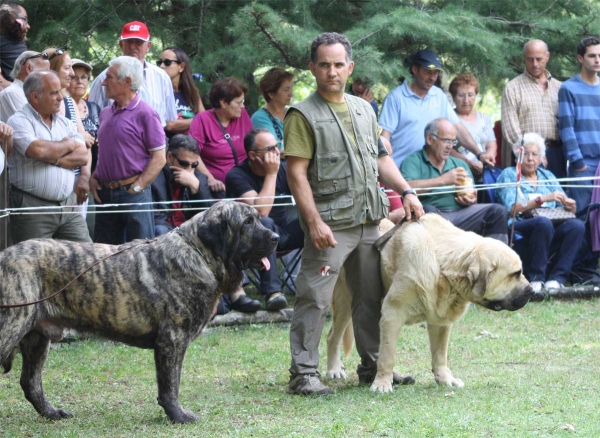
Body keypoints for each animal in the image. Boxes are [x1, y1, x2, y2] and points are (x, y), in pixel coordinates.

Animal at [0, 202, 278, 424]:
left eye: (257, 218)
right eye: (247, 222)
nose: (275, 237)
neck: (199, 254)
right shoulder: (172, 339)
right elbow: (171, 384)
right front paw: (179, 415)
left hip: (37, 338)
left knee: (31, 382)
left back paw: (52, 412)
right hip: (11, 327)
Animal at [326, 214, 532, 392]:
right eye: (516, 274)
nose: (532, 291)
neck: (443, 267)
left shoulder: (441, 320)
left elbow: (440, 355)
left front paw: (445, 379)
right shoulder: (392, 313)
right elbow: (387, 355)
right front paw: (382, 383)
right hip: (345, 300)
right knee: (332, 336)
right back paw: (334, 369)